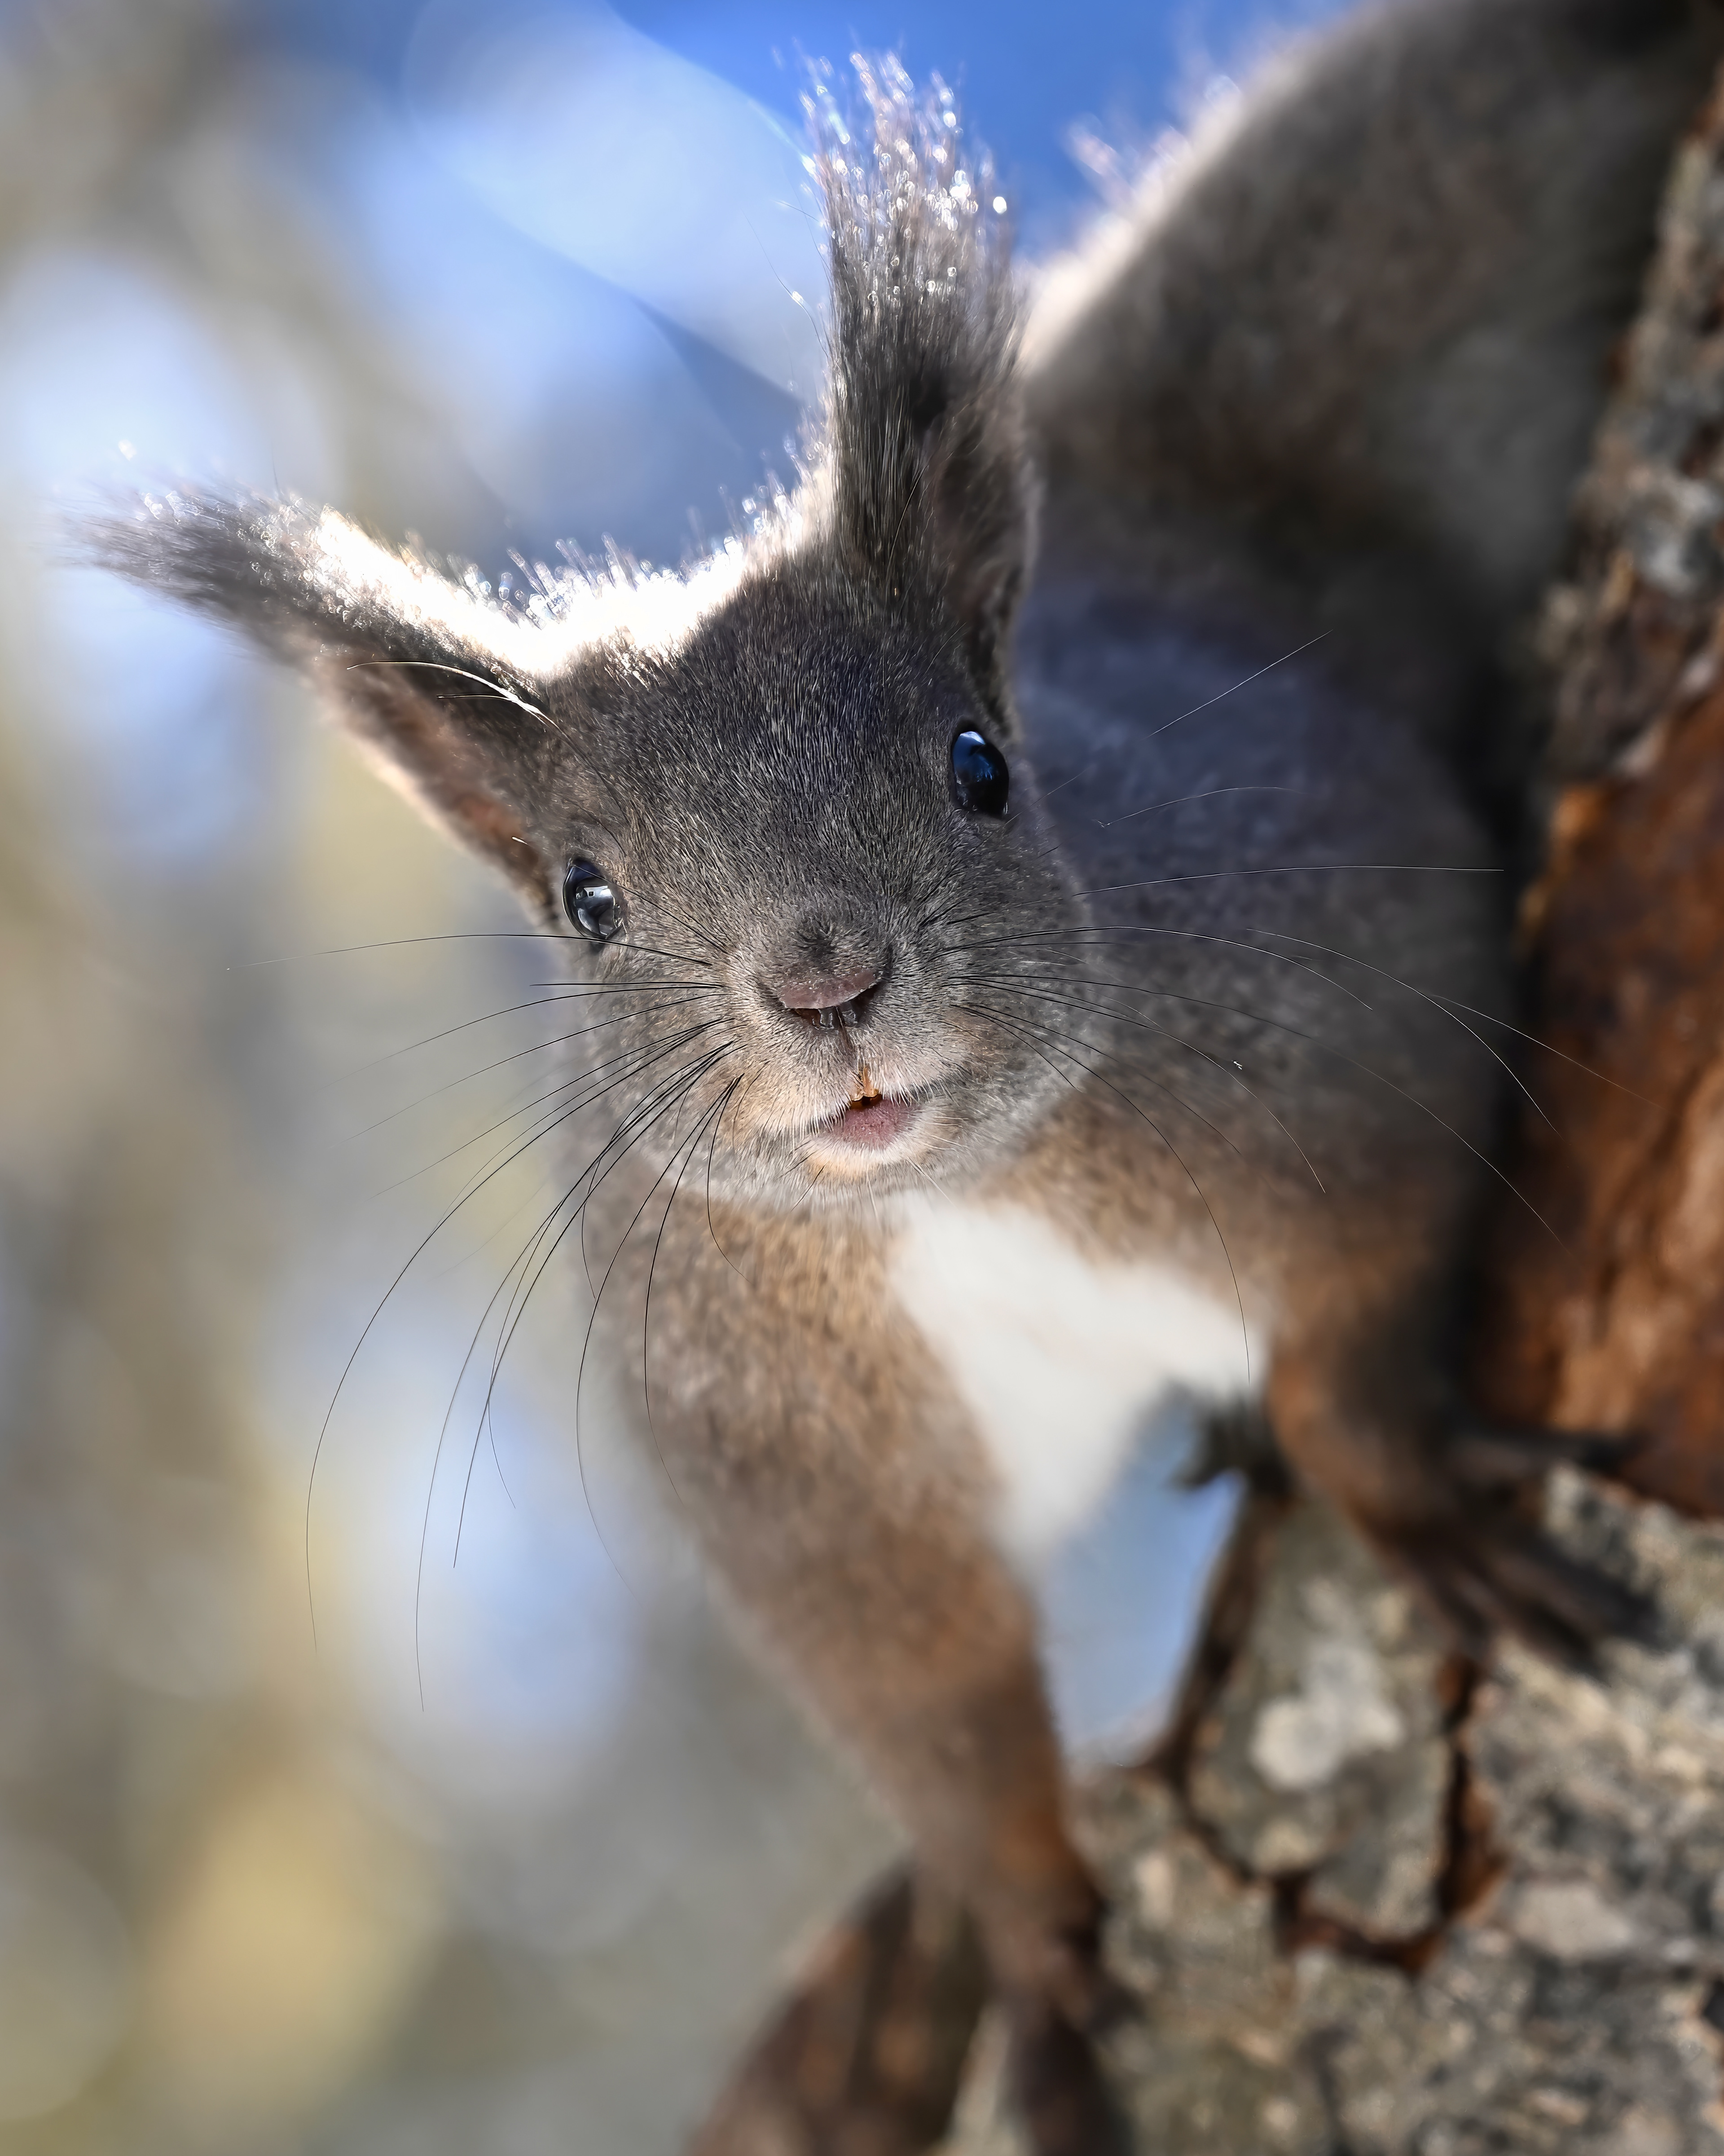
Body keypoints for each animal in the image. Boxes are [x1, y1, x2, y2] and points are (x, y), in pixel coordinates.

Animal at [94, 1, 1723, 2147]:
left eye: (979, 762)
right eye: (585, 899)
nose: (825, 977)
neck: (958, 1201)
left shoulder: (1367, 1037)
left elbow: (1364, 1332)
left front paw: (1416, 1513)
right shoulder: (819, 1485)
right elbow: (937, 1714)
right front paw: (1030, 1950)